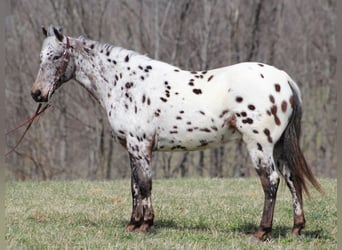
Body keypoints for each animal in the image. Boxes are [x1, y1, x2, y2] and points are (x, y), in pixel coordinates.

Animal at [30, 25, 322, 240]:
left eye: (55, 57)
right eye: (40, 58)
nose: (37, 94)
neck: (125, 83)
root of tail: (283, 78)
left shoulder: (139, 145)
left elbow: (145, 184)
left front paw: (146, 225)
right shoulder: (132, 148)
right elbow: (134, 186)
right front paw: (133, 224)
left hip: (259, 144)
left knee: (270, 181)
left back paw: (262, 232)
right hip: (279, 146)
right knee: (291, 179)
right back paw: (297, 228)